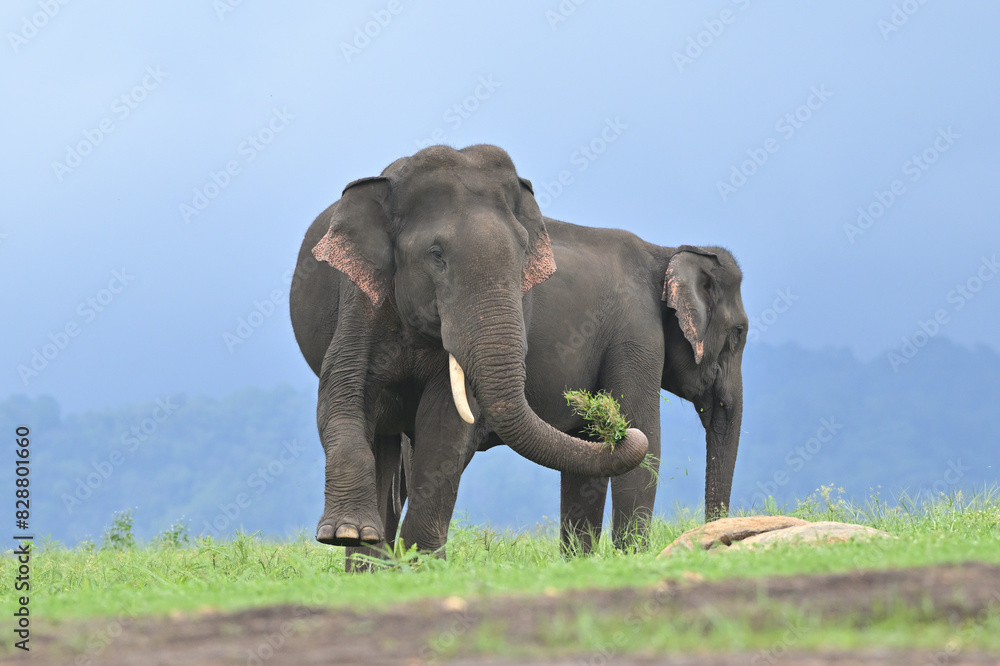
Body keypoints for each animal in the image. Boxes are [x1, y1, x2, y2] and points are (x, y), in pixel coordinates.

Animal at [289, 144, 648, 562]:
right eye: (436, 254)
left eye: (523, 253)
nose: (619, 428)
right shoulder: (359, 300)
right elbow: (342, 391)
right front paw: (345, 533)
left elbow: (446, 426)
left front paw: (423, 560)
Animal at [476, 220, 747, 553]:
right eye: (739, 332)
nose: (714, 535)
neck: (664, 253)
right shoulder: (636, 334)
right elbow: (647, 439)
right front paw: (632, 556)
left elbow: (586, 449)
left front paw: (581, 559)